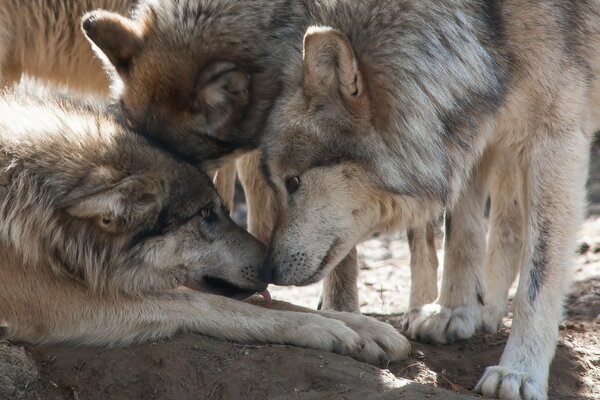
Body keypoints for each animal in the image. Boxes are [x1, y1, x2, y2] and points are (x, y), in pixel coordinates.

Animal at [0, 88, 410, 366]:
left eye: (222, 210)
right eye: (206, 215)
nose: (272, 267)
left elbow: (272, 302)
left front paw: (366, 328)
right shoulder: (62, 303)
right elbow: (211, 304)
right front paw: (323, 330)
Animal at [250, 1, 600, 398]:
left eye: (293, 182)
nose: (267, 270)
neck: (483, 25)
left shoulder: (556, 138)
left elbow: (538, 278)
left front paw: (520, 372)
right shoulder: (475, 125)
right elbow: (461, 231)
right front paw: (453, 312)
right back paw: (486, 310)